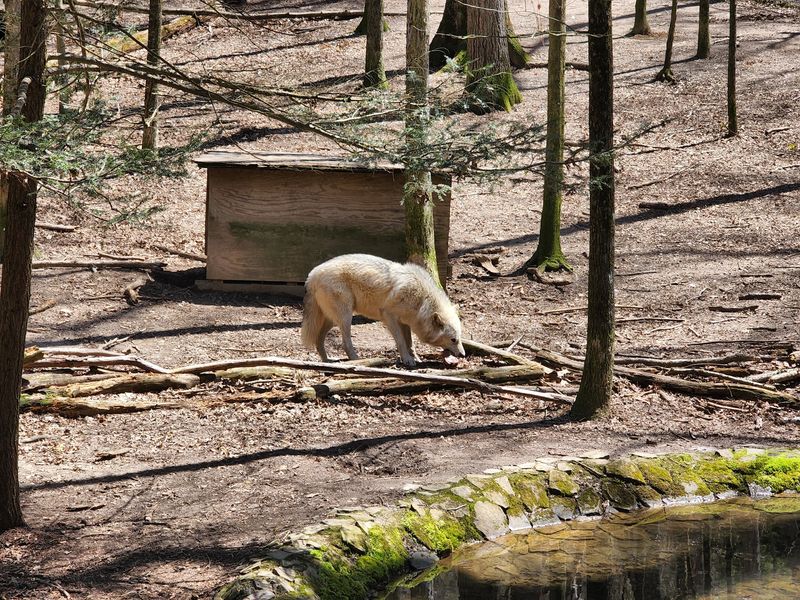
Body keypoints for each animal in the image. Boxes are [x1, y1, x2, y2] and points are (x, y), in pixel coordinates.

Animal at [301, 254, 465, 367]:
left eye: (459, 338)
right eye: (453, 339)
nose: (463, 354)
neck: (422, 299)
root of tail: (312, 275)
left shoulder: (405, 322)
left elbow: (410, 343)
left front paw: (415, 358)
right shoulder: (389, 316)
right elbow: (401, 341)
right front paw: (407, 360)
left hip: (332, 320)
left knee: (318, 340)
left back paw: (327, 361)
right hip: (346, 317)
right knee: (345, 343)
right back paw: (357, 360)